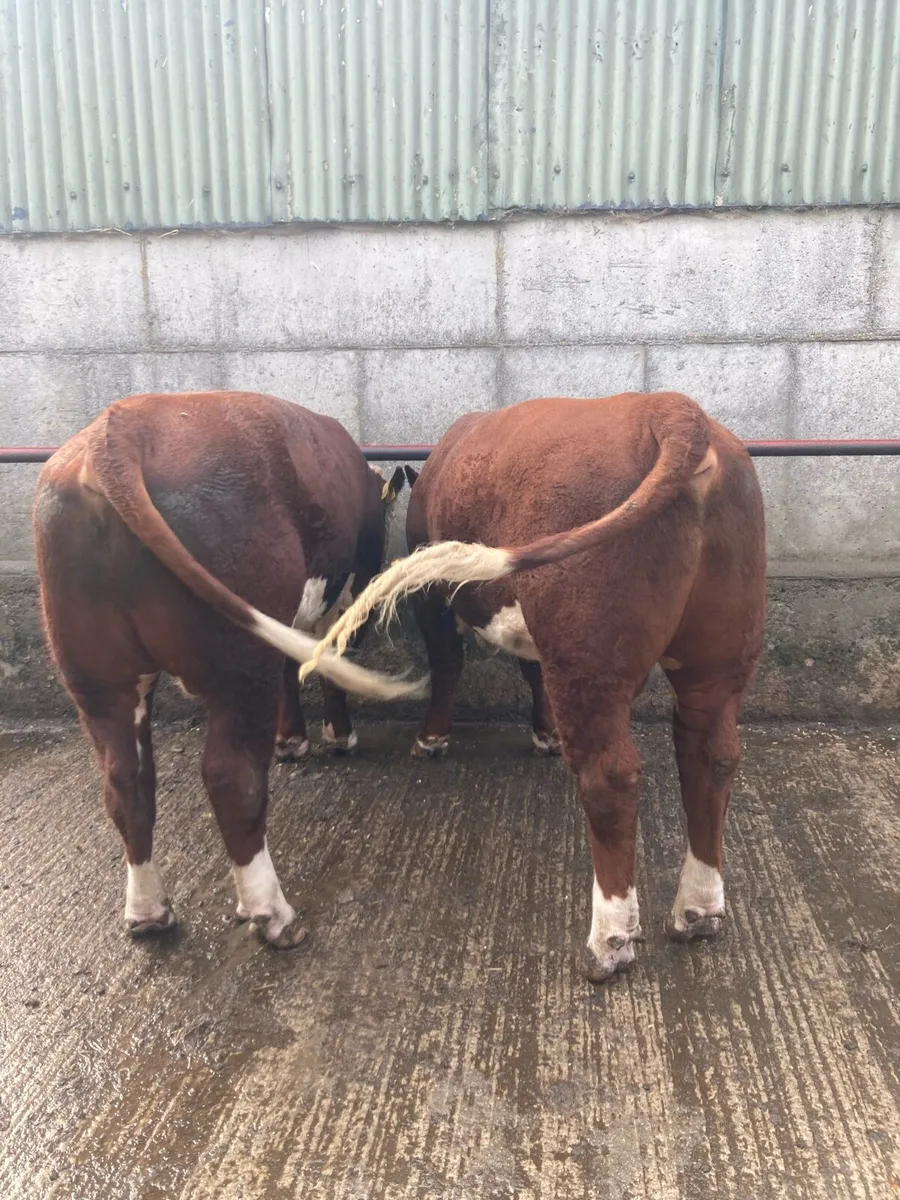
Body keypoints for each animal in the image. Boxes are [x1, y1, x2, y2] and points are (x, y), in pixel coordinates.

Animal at [33, 391, 419, 949]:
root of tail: (119, 430)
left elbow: (292, 668)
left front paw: (291, 740)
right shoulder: (340, 599)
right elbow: (323, 662)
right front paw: (337, 736)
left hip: (94, 672)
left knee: (124, 778)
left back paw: (148, 912)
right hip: (237, 658)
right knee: (231, 775)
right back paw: (272, 914)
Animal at [300, 393, 767, 983]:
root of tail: (671, 409)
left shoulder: (434, 596)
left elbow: (448, 665)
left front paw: (432, 739)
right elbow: (532, 672)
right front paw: (544, 735)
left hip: (589, 655)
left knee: (610, 777)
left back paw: (609, 942)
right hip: (720, 655)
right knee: (712, 756)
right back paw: (698, 910)